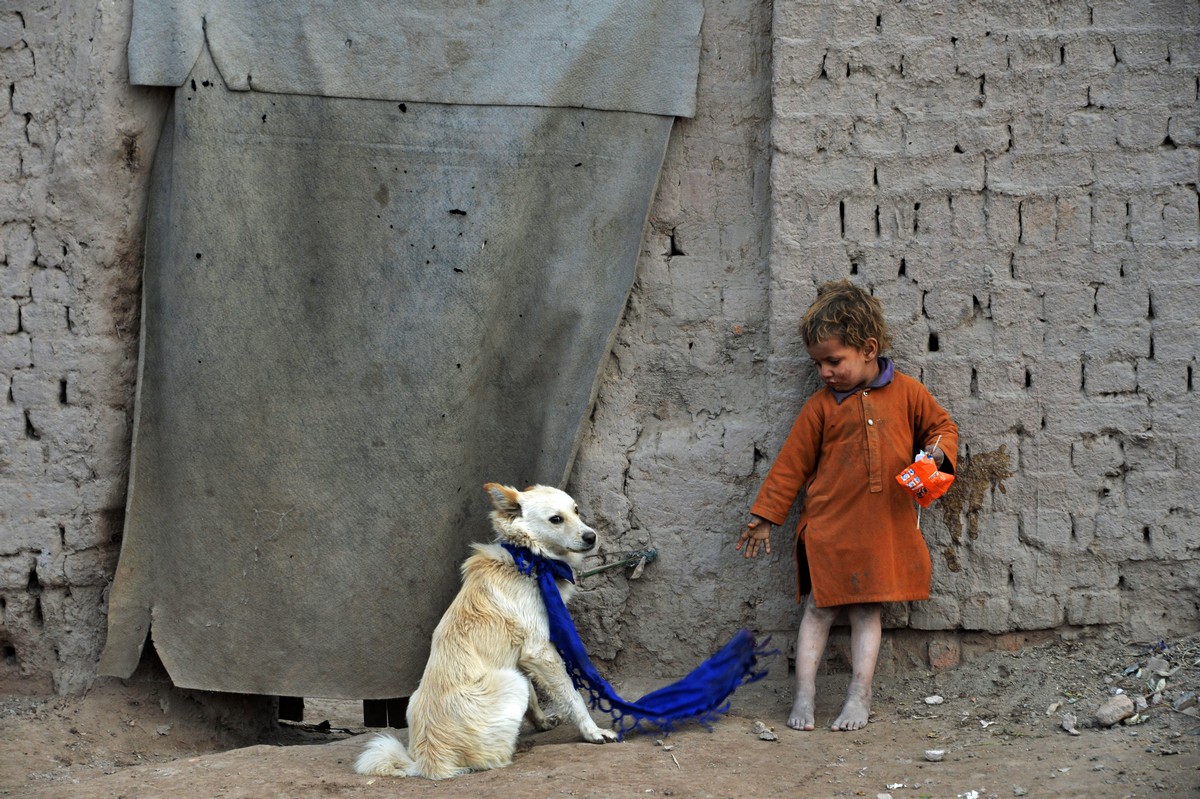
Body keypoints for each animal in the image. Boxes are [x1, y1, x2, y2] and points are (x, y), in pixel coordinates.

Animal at [352, 482, 619, 772]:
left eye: (576, 510)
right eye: (556, 519)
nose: (592, 537)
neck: (529, 560)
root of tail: (428, 760)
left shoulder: (520, 656)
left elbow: (534, 697)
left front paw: (541, 722)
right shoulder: (539, 651)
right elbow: (572, 695)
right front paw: (592, 732)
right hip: (510, 681)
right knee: (492, 759)